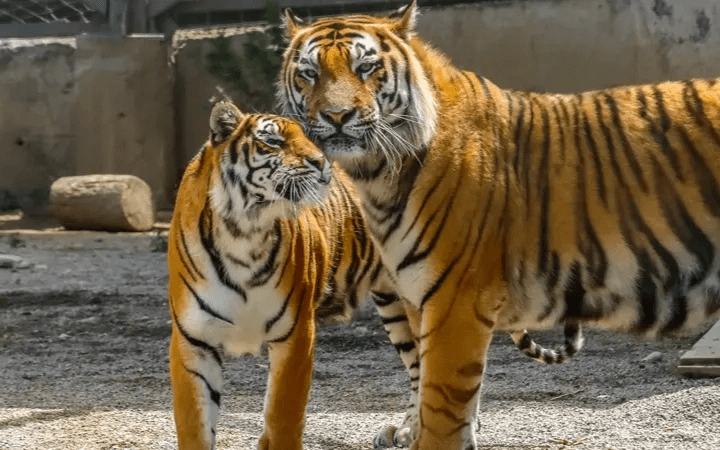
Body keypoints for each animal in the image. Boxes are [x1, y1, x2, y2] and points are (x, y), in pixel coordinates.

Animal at [278, 1, 720, 449]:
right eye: (310, 72)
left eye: (366, 67)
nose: (336, 116)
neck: (378, 174)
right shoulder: (421, 297)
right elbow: (435, 388)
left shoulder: (454, 299)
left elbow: (441, 412)